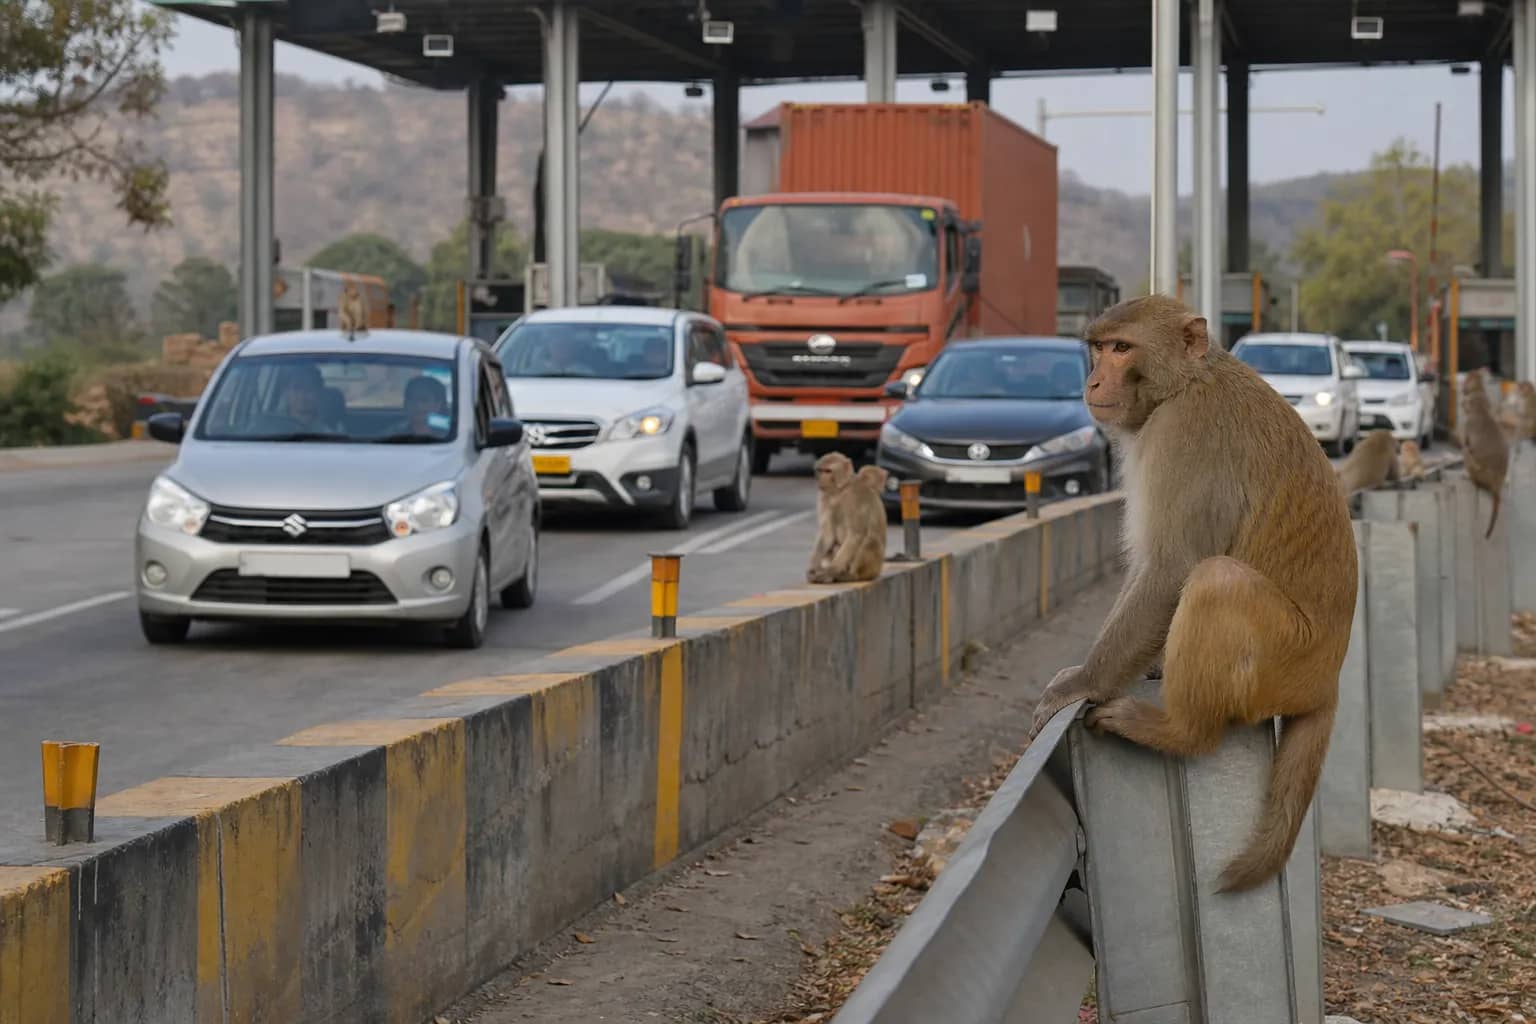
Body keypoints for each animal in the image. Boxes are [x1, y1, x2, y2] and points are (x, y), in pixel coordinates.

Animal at [806, 453, 887, 584]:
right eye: (820, 470)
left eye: (828, 471)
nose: (821, 479)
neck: (840, 490)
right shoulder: (824, 496)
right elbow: (828, 534)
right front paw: (813, 568)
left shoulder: (854, 496)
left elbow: (856, 534)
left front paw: (829, 571)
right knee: (834, 546)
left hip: (874, 567)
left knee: (869, 540)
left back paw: (851, 576)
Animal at [1026, 294, 1356, 894]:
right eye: (1098, 347)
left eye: (1121, 348)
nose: (1092, 379)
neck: (1185, 382)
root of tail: (1327, 681)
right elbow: (1148, 568)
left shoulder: (1184, 436)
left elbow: (1171, 568)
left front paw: (1082, 682)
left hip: (1284, 658)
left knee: (1216, 579)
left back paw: (1179, 732)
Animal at [1458, 367, 1510, 540]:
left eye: (1467, 378)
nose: (1462, 390)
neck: (1481, 408)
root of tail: (1496, 483)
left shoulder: (1467, 426)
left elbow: (1466, 443)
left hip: (1478, 470)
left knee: (1467, 452)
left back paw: (1469, 477)